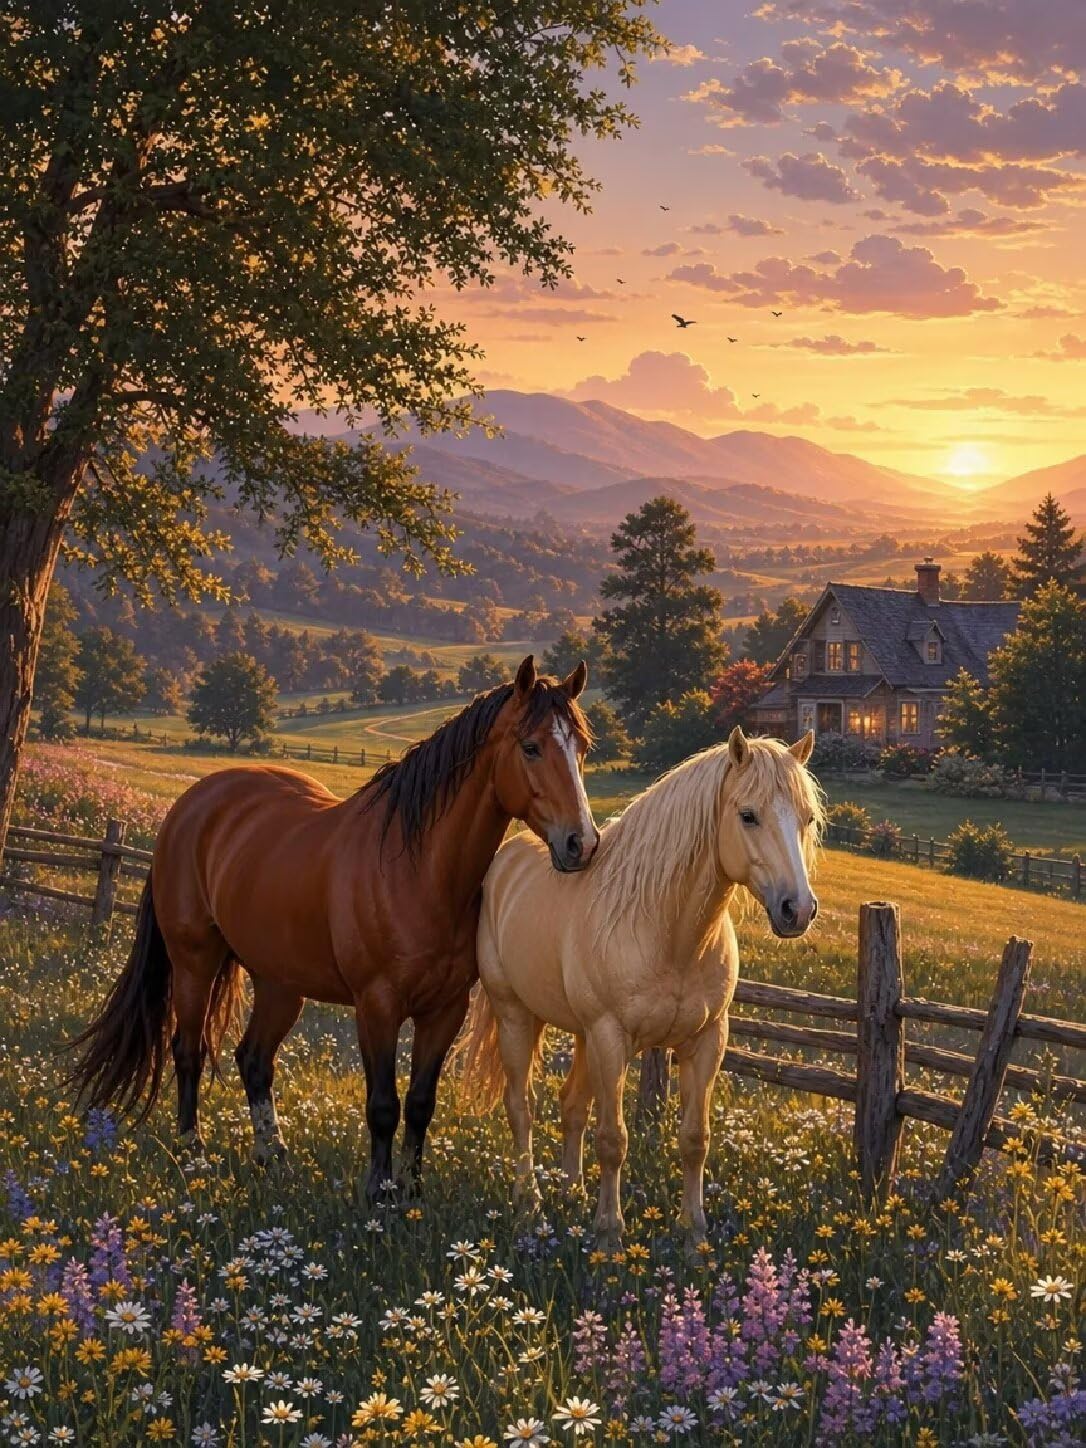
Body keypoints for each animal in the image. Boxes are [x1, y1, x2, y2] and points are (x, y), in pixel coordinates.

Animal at [69, 655, 599, 1200]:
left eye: (582, 749)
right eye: (531, 747)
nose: (581, 843)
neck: (418, 871)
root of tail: (189, 807)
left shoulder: (445, 1011)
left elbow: (420, 1104)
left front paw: (411, 1192)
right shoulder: (377, 1005)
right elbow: (383, 1105)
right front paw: (377, 1193)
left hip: (280, 983)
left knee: (253, 1059)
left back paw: (273, 1157)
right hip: (195, 962)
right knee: (188, 1049)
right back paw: (192, 1150)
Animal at [458, 726, 822, 1252]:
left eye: (807, 818)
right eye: (748, 815)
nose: (798, 909)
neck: (668, 933)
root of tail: (505, 859)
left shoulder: (706, 1041)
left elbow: (695, 1139)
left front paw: (693, 1235)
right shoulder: (612, 1038)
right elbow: (614, 1140)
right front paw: (610, 1235)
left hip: (582, 1035)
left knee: (572, 1107)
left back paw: (571, 1193)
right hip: (516, 1018)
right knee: (521, 1107)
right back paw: (530, 1203)